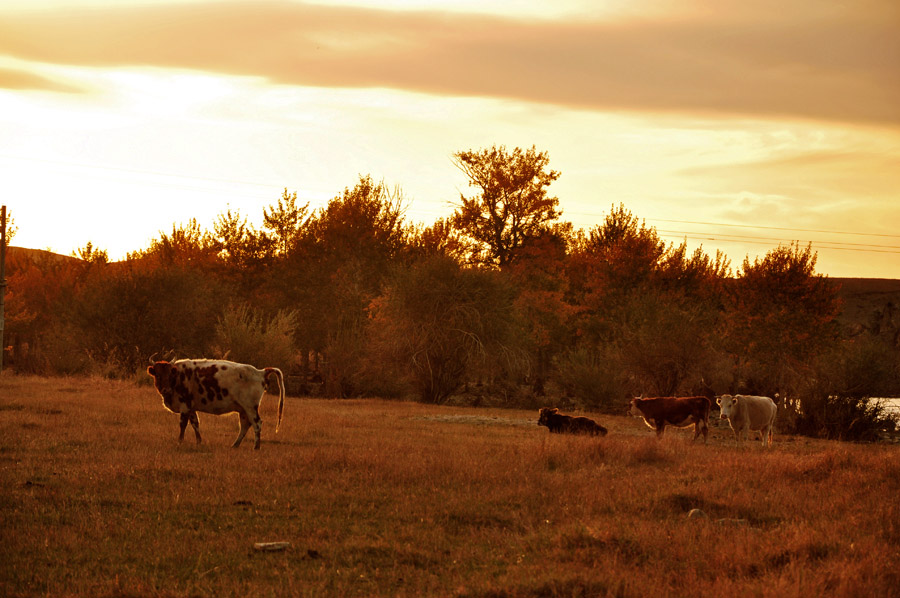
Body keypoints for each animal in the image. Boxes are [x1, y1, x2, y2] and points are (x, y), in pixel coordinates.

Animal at [146, 360, 284, 450]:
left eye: (169, 375)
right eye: (158, 375)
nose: (166, 390)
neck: (178, 378)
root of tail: (261, 372)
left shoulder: (184, 406)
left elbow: (183, 425)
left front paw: (180, 441)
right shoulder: (191, 408)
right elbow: (195, 424)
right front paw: (199, 442)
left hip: (250, 407)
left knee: (257, 423)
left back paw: (256, 447)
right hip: (243, 410)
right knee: (245, 426)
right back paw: (235, 445)